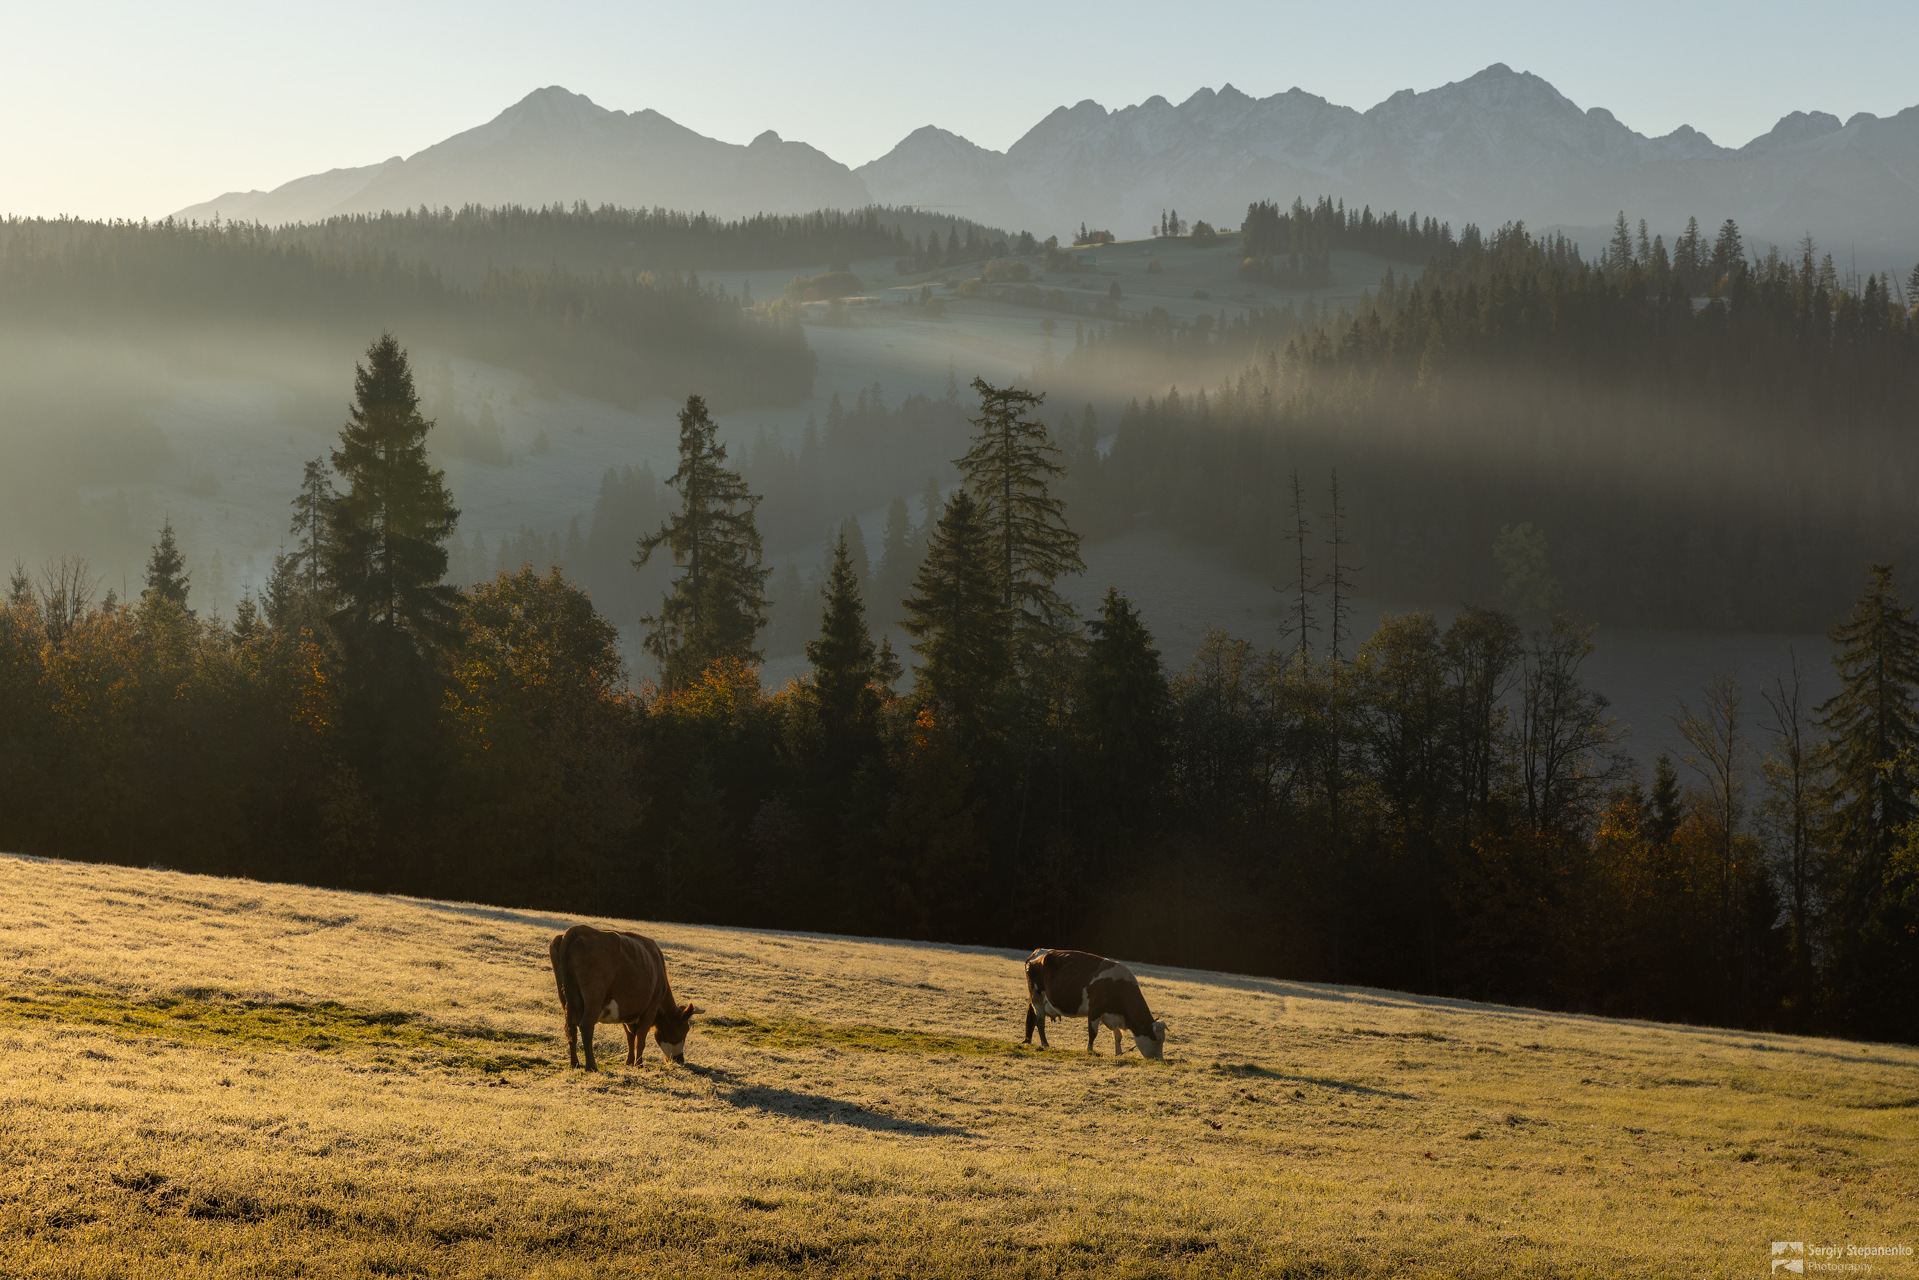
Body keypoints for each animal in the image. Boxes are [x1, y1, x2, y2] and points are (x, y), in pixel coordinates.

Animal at [548, 921, 706, 1074]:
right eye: (685, 1029)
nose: (680, 1059)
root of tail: (576, 930)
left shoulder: (627, 1010)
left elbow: (630, 1036)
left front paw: (629, 1062)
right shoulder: (650, 1009)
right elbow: (641, 1039)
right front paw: (639, 1064)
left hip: (566, 996)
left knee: (570, 1027)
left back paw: (574, 1063)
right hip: (594, 994)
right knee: (586, 1025)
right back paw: (591, 1066)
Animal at [1028, 948, 1159, 1059]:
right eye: (1155, 1040)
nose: (1160, 1059)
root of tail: (1039, 951)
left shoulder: (1113, 1015)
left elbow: (1117, 1036)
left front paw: (1118, 1053)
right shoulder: (1094, 1011)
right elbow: (1093, 1033)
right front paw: (1089, 1050)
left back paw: (1028, 1040)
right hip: (1037, 998)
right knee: (1040, 1022)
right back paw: (1045, 1044)